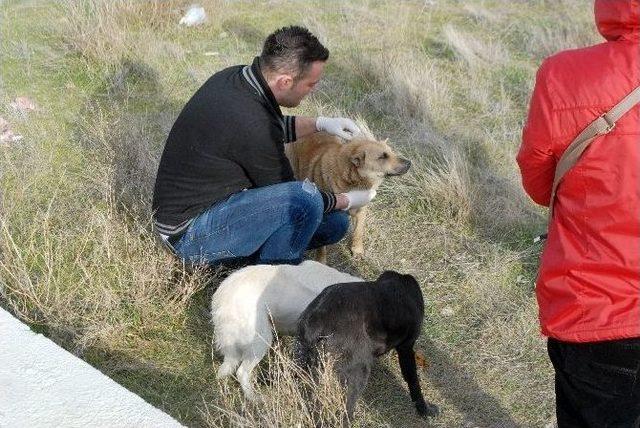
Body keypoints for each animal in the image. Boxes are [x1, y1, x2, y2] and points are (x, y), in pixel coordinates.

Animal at [284, 132, 410, 262]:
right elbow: (321, 247)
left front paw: (357, 250)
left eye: (391, 152)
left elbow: (358, 232)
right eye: (382, 157)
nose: (409, 163)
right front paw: (320, 261)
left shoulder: (361, 210)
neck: (351, 180)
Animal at [296, 270, 440, 422]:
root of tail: (315, 319)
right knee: (346, 413)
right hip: (357, 373)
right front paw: (425, 410)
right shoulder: (407, 347)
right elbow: (413, 381)